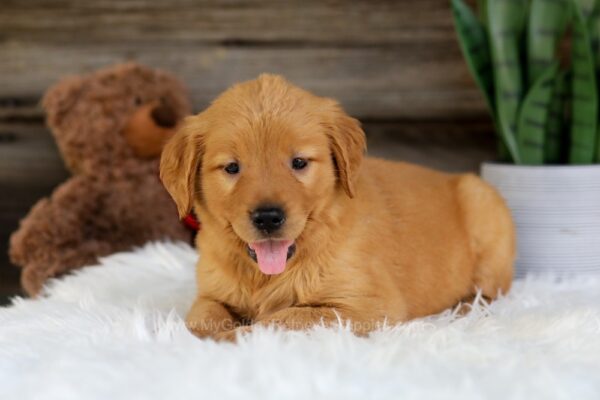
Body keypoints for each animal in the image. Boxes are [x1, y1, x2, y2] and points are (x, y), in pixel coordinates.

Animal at [161, 74, 516, 340]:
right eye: (232, 168)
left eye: (299, 162)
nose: (268, 217)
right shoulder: (210, 293)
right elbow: (199, 317)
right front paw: (211, 335)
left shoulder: (367, 306)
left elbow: (284, 318)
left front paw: (238, 336)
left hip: (484, 208)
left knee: (492, 290)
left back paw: (466, 307)